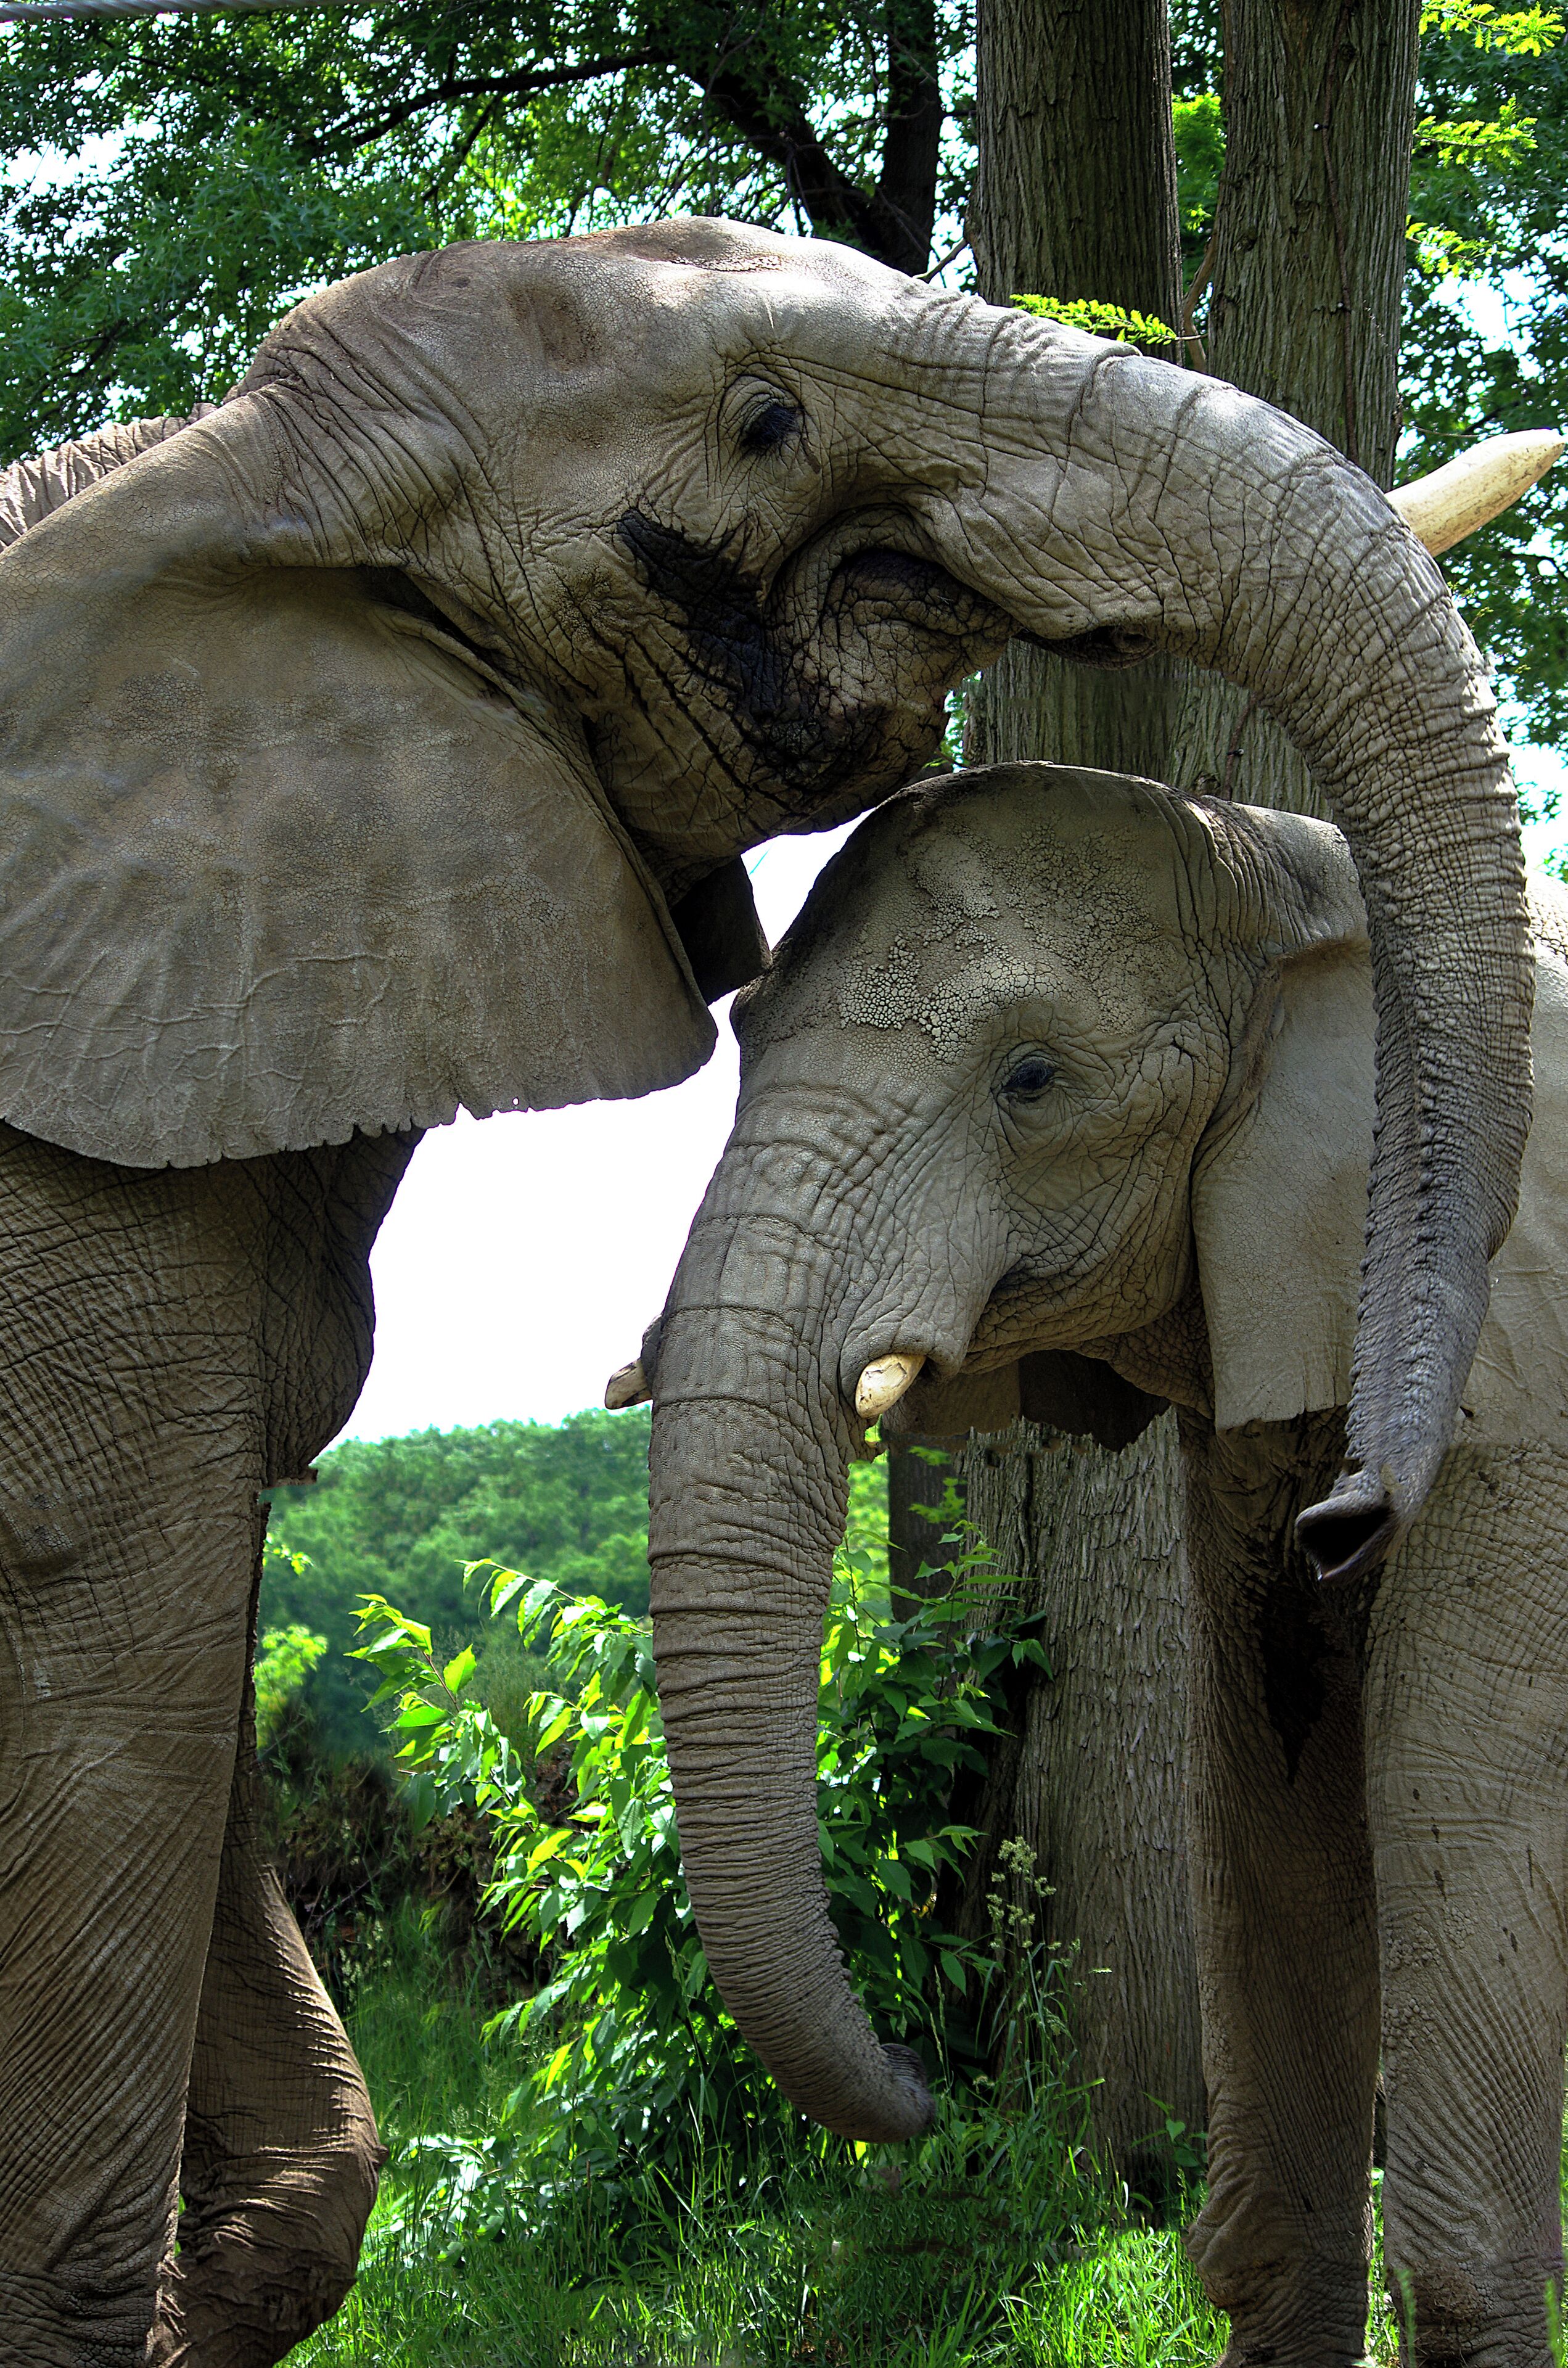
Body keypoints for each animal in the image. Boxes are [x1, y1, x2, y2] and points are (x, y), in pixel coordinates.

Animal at [639, 759, 1568, 2367]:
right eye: (739, 1034)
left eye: (1030, 1080)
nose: (923, 2086)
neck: (1311, 887)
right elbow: (1267, 1783)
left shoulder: (1524, 1353)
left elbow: (1447, 1787)